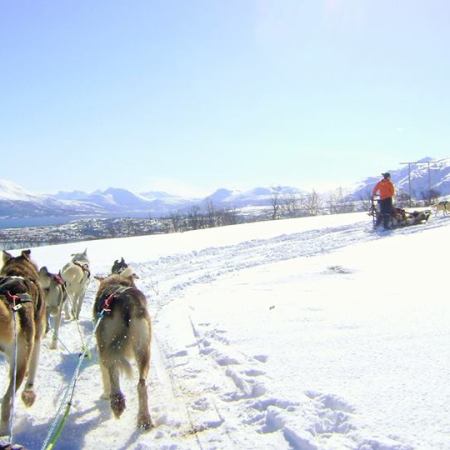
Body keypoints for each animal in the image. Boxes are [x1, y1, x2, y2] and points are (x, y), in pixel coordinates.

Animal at [93, 270, 152, 430]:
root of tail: (125, 300)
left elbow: (105, 376)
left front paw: (105, 394)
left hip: (106, 349)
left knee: (112, 373)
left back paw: (116, 402)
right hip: (143, 349)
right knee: (141, 384)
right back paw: (144, 419)